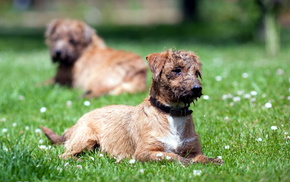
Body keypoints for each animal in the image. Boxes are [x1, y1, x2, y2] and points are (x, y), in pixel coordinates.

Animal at [40, 49, 222, 165]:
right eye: (177, 70)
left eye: (196, 73)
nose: (197, 88)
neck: (172, 114)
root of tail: (76, 123)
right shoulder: (145, 152)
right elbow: (172, 156)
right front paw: (186, 162)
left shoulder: (194, 150)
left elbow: (201, 157)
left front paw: (212, 161)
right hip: (86, 139)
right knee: (64, 155)